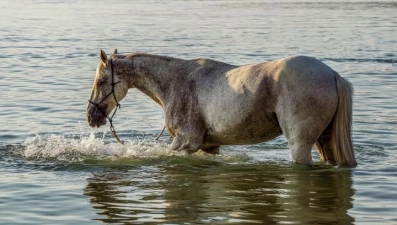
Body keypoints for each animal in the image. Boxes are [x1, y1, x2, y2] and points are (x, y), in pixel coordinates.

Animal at [87, 50, 356, 166]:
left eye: (100, 82)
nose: (92, 116)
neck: (176, 80)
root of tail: (333, 75)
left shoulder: (186, 141)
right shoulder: (209, 147)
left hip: (300, 144)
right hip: (323, 141)